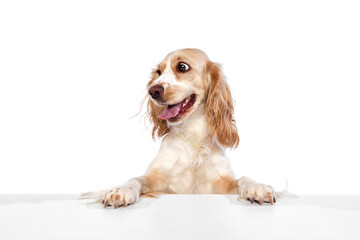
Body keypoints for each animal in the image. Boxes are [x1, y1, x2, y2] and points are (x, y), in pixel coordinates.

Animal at [83, 47, 278, 207]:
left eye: (182, 67)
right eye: (159, 72)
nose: (153, 90)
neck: (192, 135)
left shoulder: (221, 183)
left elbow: (243, 179)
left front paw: (257, 187)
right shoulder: (157, 180)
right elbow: (135, 179)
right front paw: (120, 191)